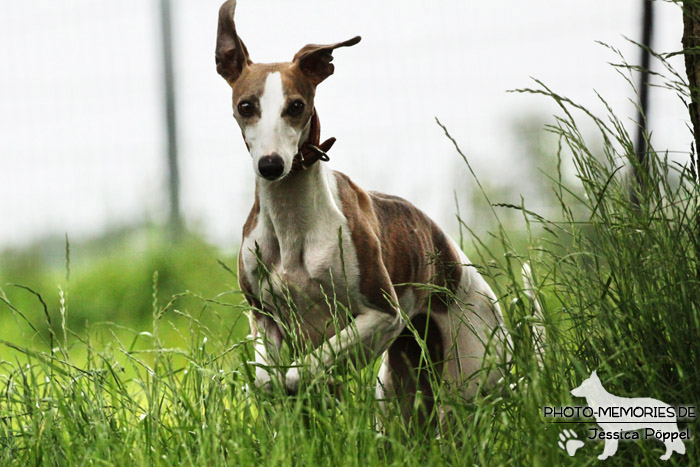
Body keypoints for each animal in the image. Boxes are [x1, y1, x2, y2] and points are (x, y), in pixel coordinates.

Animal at [216, 0, 512, 422]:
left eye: (296, 106)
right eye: (246, 106)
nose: (271, 165)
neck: (293, 223)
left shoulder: (381, 316)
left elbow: (299, 370)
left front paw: (308, 385)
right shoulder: (264, 318)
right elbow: (267, 379)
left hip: (467, 376)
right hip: (399, 395)